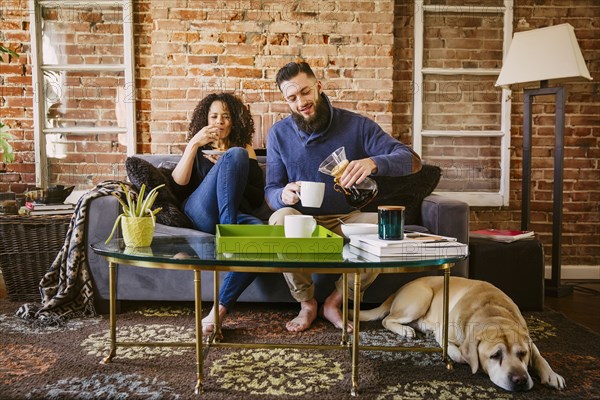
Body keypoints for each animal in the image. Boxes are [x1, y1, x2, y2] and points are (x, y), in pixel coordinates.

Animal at [358, 276, 564, 392]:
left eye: (522, 354)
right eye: (495, 355)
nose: (520, 379)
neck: (492, 311)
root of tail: (398, 289)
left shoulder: (527, 337)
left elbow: (539, 356)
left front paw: (551, 374)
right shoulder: (443, 332)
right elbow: (458, 353)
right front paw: (468, 361)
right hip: (421, 297)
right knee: (387, 320)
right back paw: (405, 329)